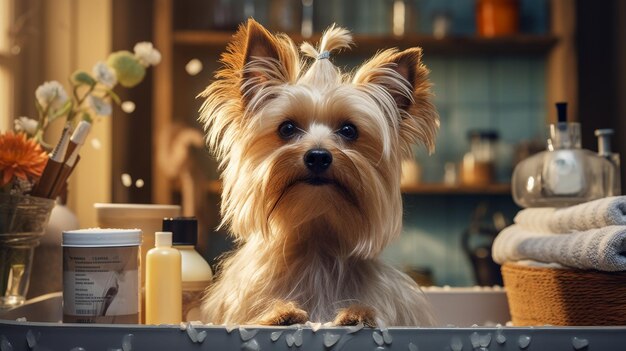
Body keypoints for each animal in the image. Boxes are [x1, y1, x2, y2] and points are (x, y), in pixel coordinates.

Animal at [197, 19, 436, 328]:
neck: (316, 241)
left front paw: (358, 314)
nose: (319, 156)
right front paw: (279, 313)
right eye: (287, 128)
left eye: (349, 130)